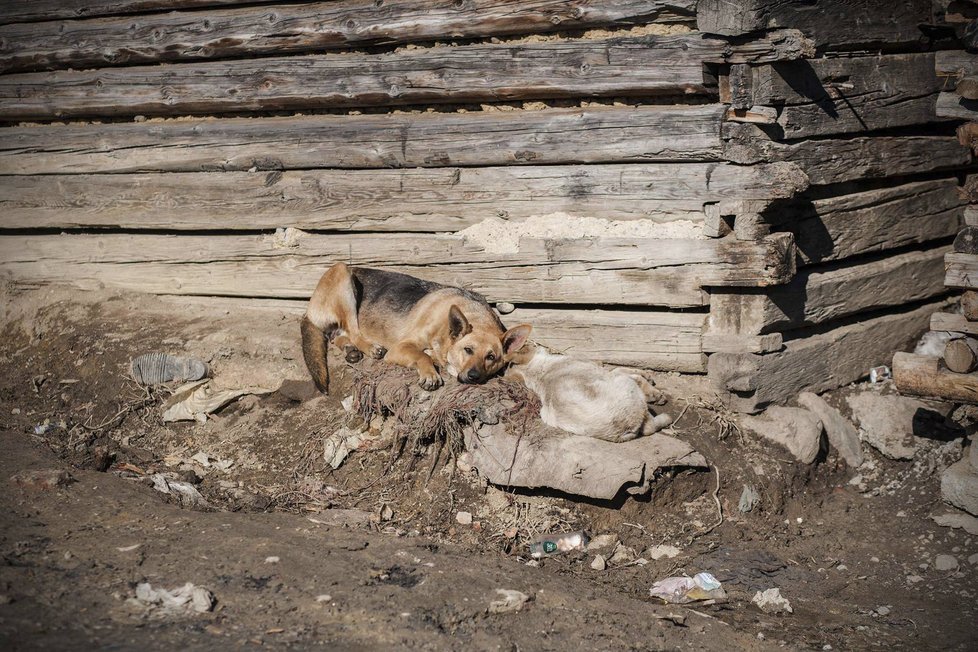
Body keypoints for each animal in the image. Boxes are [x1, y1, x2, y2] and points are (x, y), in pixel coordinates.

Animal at [302, 264, 528, 392]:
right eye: (468, 350)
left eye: (491, 357)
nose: (474, 377)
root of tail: (309, 306)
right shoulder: (400, 348)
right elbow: (422, 356)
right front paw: (430, 374)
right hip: (343, 273)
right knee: (353, 331)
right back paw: (369, 347)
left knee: (338, 334)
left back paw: (351, 350)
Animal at [504, 344, 672, 440]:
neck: (539, 373)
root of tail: (621, 429)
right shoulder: (608, 373)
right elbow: (631, 373)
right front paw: (654, 391)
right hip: (626, 385)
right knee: (649, 426)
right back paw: (665, 417)